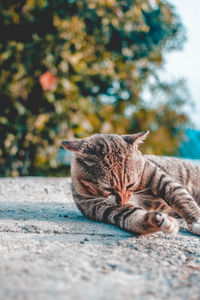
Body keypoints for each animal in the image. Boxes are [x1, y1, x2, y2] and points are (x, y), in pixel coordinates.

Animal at [61, 131, 200, 237]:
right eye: (108, 189)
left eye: (130, 184)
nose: (123, 201)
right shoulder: (107, 209)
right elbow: (135, 218)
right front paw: (160, 221)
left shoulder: (158, 176)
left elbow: (180, 197)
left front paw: (196, 221)